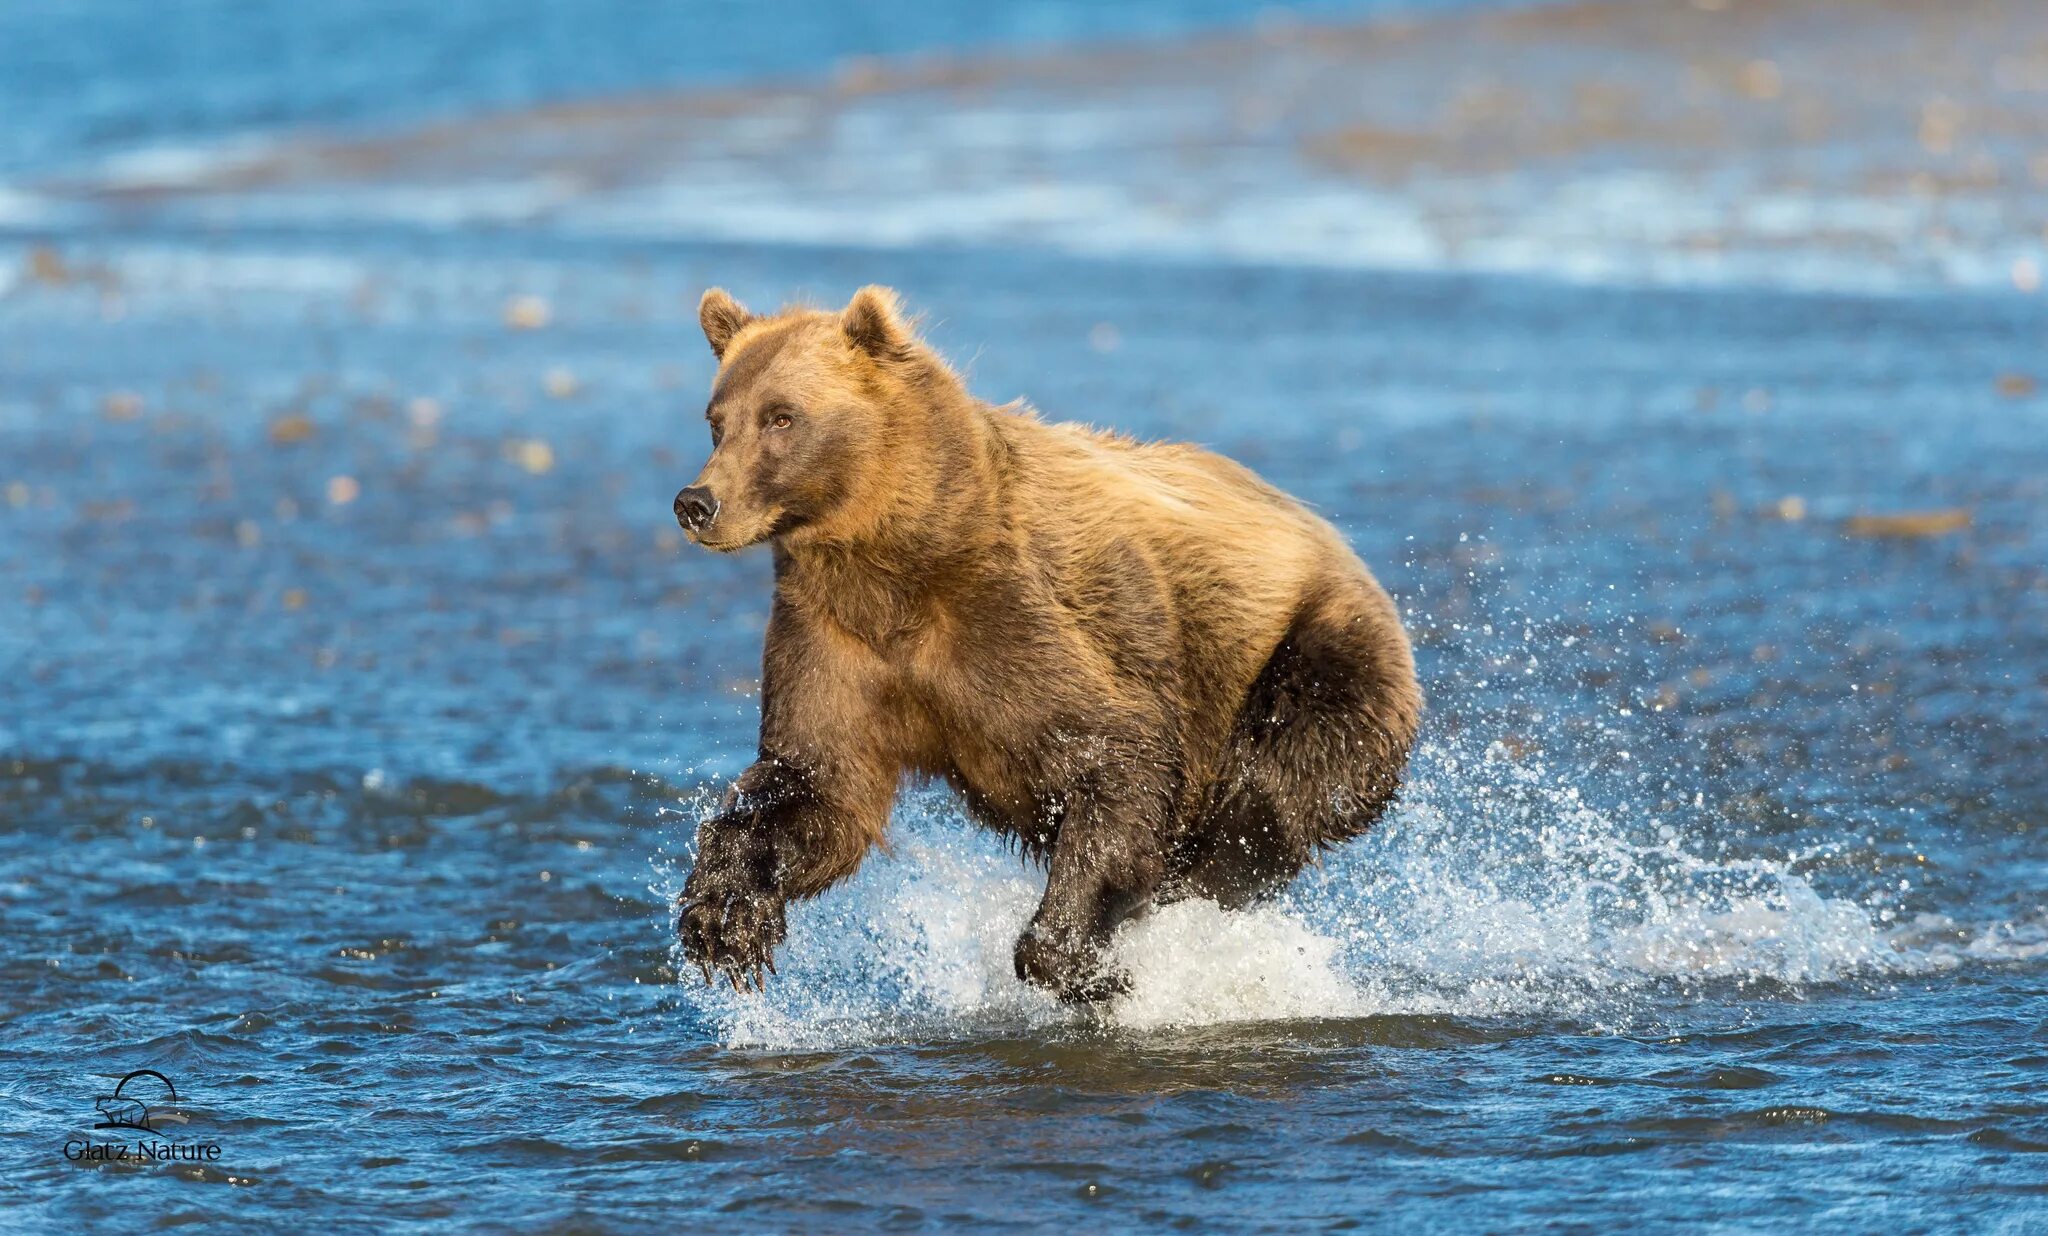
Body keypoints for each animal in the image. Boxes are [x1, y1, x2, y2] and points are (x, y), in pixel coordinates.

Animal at [671, 290, 1425, 1002]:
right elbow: (820, 786)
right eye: (717, 419)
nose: (697, 503)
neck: (898, 565)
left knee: (1270, 782)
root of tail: (1333, 537)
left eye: (781, 417)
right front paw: (724, 919)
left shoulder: (1018, 620)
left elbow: (1116, 759)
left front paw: (1086, 964)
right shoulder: (836, 637)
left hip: (1317, 651)